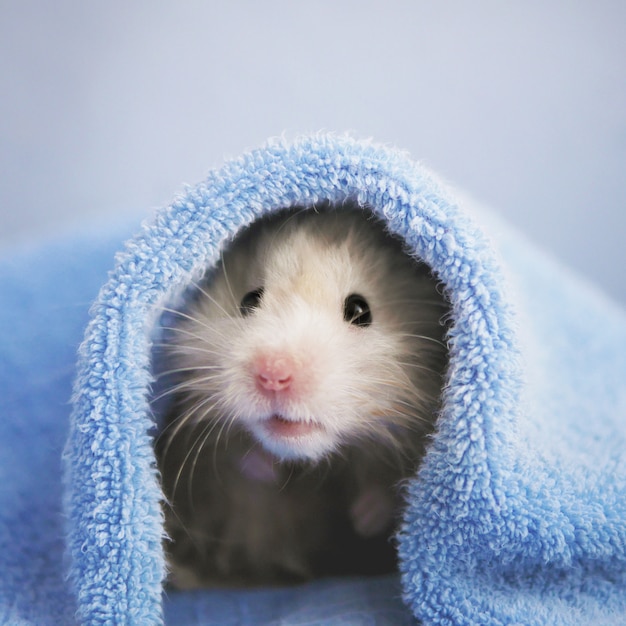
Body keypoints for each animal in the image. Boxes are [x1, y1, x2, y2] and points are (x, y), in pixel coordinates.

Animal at [153, 205, 446, 584]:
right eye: (248, 300)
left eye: (360, 310)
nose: (274, 374)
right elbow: (234, 463)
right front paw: (263, 467)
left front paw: (366, 517)